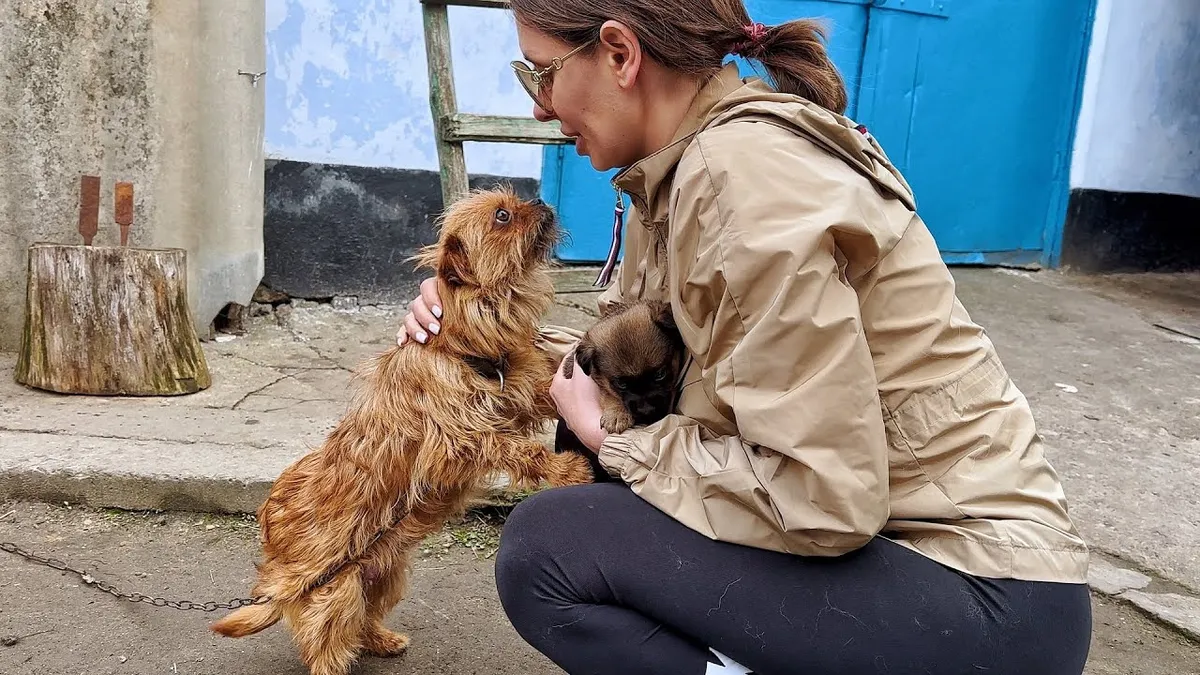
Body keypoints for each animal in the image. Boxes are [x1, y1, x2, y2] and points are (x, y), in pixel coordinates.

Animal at [213, 186, 597, 672]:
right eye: (502, 216)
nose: (542, 201)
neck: (460, 343)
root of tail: (274, 545)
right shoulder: (462, 439)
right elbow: (519, 450)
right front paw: (568, 469)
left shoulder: (519, 393)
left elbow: (546, 396)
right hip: (334, 587)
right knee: (326, 637)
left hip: (384, 570)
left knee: (363, 617)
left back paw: (381, 639)